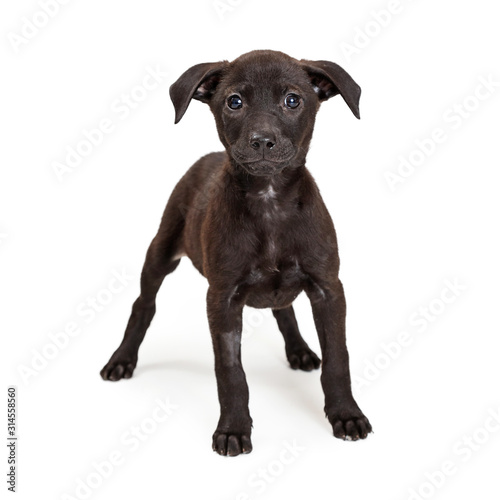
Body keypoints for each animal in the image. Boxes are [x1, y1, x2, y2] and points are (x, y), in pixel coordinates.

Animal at [100, 50, 372, 458]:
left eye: (293, 99)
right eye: (234, 102)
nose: (262, 141)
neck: (269, 200)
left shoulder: (328, 288)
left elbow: (338, 358)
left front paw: (346, 414)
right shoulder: (222, 298)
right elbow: (230, 370)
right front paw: (233, 429)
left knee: (284, 309)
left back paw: (299, 350)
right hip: (160, 253)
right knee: (143, 305)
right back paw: (122, 359)